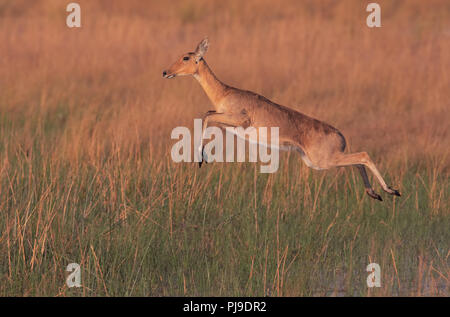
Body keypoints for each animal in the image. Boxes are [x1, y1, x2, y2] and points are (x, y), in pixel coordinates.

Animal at [163, 37, 400, 200]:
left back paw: (391, 190)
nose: (165, 72)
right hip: (317, 162)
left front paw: (200, 158)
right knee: (358, 161)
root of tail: (340, 135)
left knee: (363, 155)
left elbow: (206, 116)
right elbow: (208, 115)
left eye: (186, 57)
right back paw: (375, 194)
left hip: (323, 160)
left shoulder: (240, 121)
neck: (224, 92)